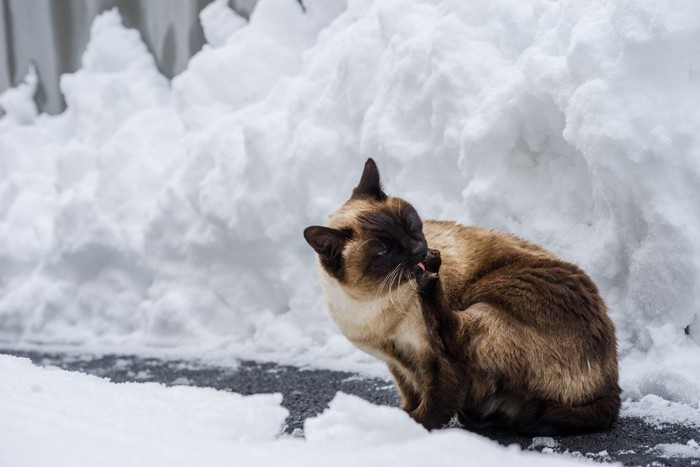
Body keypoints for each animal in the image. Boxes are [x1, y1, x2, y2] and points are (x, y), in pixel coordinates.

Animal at [304, 158, 620, 436]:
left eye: (409, 222)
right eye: (382, 250)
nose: (419, 249)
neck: (372, 307)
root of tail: (611, 385)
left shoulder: (434, 361)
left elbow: (435, 405)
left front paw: (410, 426)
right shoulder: (397, 363)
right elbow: (411, 395)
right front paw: (400, 418)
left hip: (488, 303)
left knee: (453, 334)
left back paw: (430, 280)